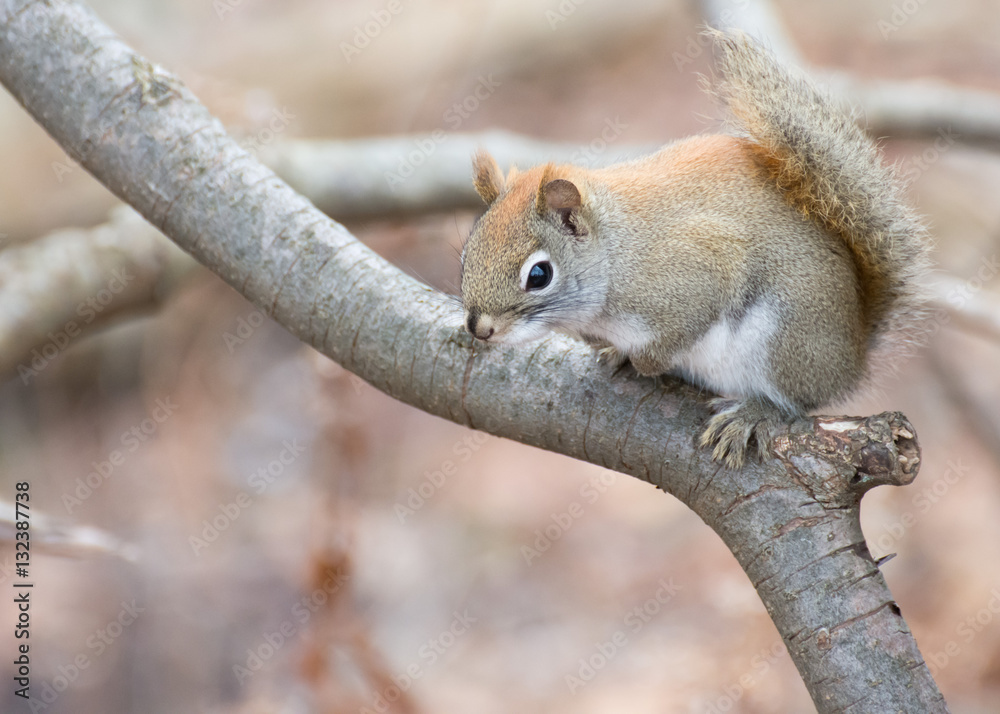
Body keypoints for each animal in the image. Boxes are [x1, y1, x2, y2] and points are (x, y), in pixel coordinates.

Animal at [458, 29, 930, 468]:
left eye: (539, 275)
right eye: (466, 255)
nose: (480, 329)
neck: (617, 256)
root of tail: (853, 355)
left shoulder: (698, 270)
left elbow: (684, 325)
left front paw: (647, 361)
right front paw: (617, 352)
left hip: (783, 343)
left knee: (796, 401)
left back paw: (757, 413)